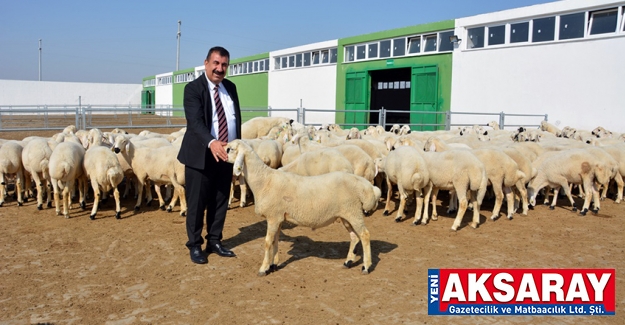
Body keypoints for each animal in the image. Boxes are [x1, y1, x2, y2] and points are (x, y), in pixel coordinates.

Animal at [224, 139, 380, 276]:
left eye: (230, 149)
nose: (222, 156)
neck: (264, 180)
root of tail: (364, 184)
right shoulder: (279, 218)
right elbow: (275, 241)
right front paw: (273, 265)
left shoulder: (273, 217)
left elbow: (268, 242)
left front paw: (264, 268)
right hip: (346, 214)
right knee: (354, 237)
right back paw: (348, 262)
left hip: (353, 213)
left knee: (365, 235)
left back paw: (366, 267)